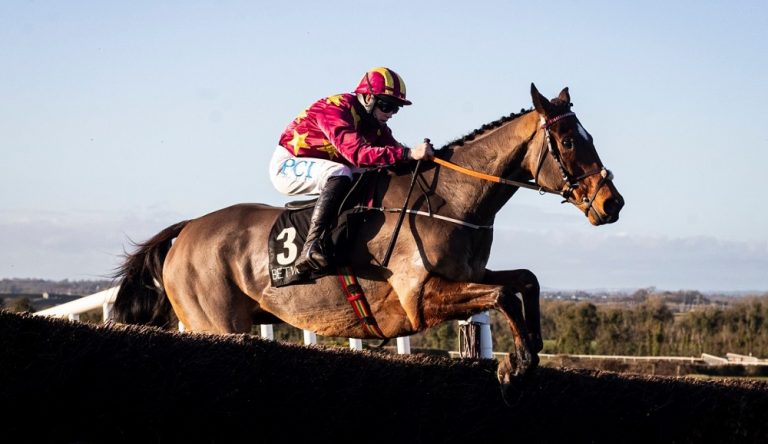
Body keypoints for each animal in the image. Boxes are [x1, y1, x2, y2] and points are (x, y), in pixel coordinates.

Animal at [112, 84, 624, 389]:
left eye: (591, 136)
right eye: (570, 141)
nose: (611, 204)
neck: (450, 199)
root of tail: (185, 230)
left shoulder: (467, 273)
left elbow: (525, 279)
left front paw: (531, 343)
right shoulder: (420, 298)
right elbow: (500, 295)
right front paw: (513, 362)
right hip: (214, 323)